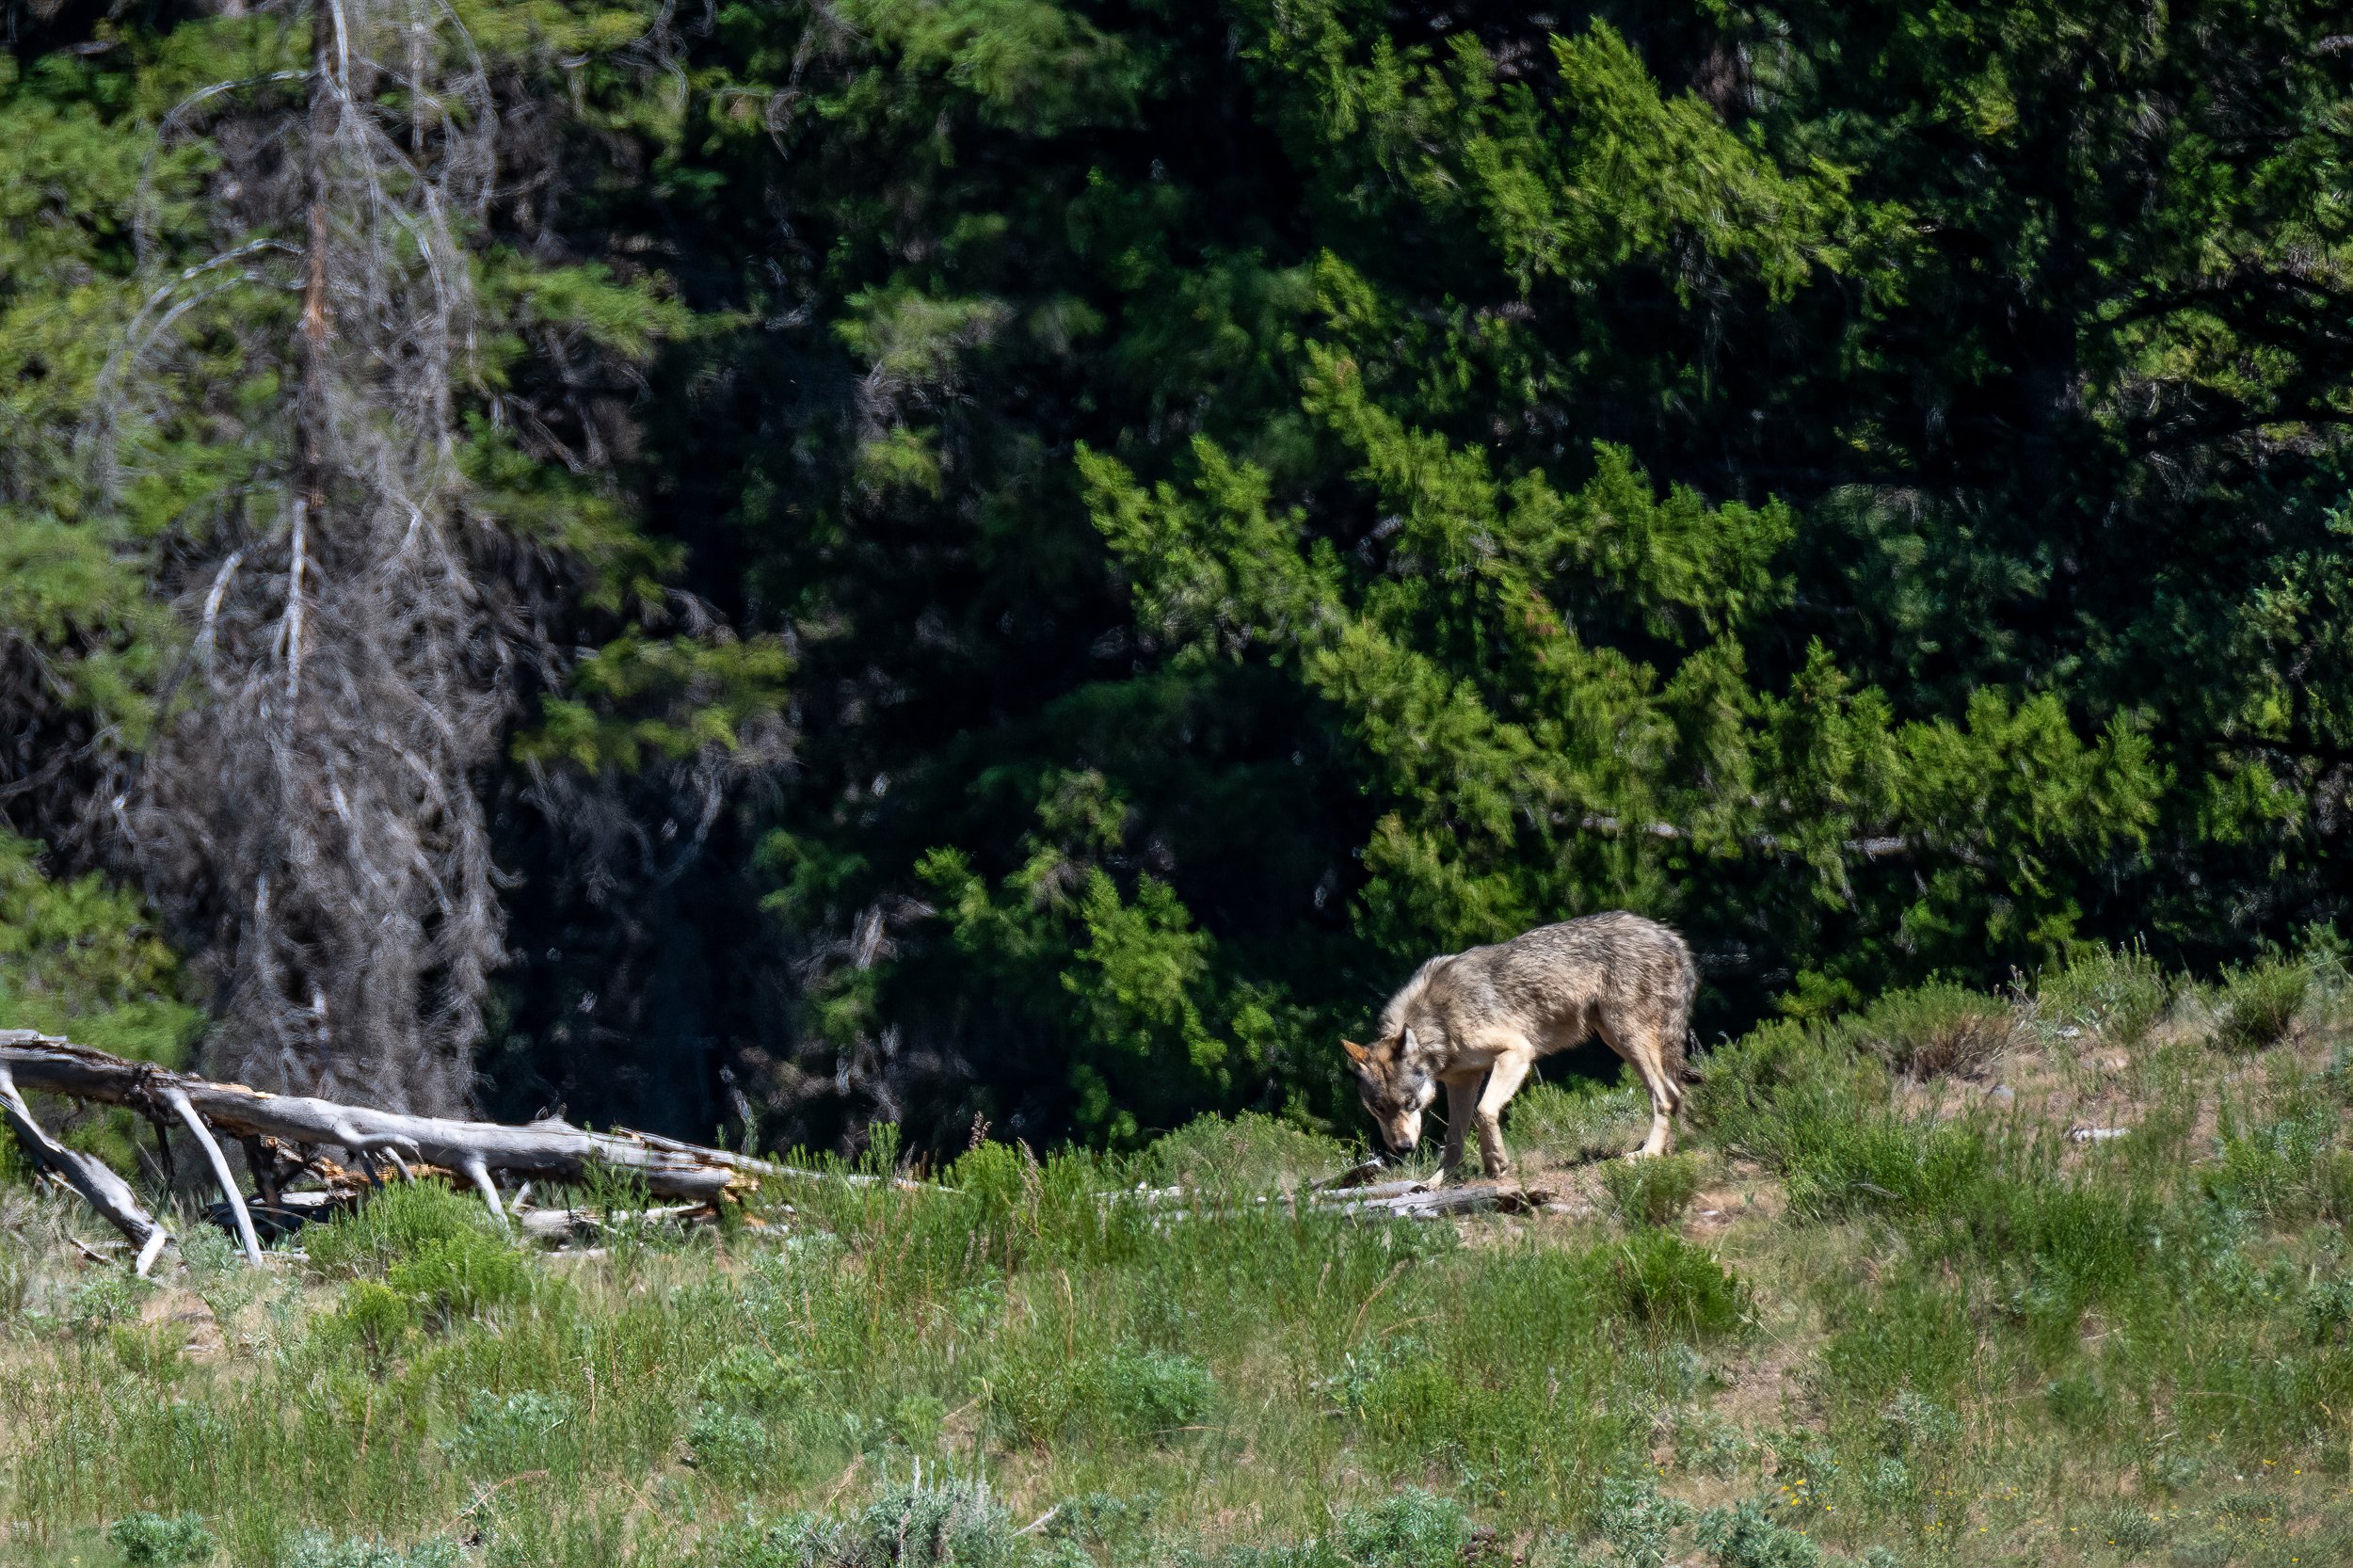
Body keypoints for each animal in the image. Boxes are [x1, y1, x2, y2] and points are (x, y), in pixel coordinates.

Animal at [1341, 912, 1698, 1176]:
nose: (1402, 1148)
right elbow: (1454, 1140)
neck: (1438, 1019)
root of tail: (1671, 937)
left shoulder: (1517, 1052)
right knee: (1671, 1094)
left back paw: (1648, 1155)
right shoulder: (1461, 1081)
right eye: (1379, 1108)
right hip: (1616, 1039)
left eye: (1409, 1103)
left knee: (1666, 1096)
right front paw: (1436, 1183)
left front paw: (1496, 1162)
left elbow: (1484, 1112)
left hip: (1625, 1037)